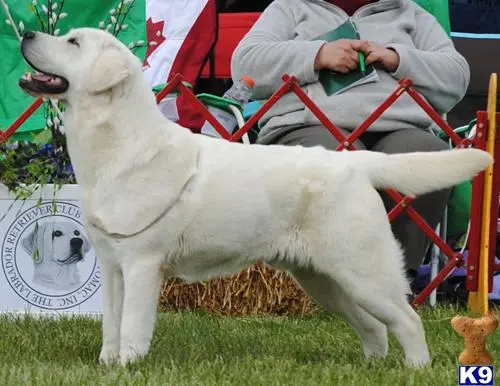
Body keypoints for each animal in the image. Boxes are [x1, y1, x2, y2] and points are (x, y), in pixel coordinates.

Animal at [18, 27, 492, 368]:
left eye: (73, 43)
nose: (26, 34)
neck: (116, 146)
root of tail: (355, 163)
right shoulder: (113, 266)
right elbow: (110, 328)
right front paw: (108, 366)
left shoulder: (140, 264)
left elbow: (132, 327)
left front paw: (128, 368)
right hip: (324, 280)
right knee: (374, 327)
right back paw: (372, 367)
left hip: (364, 271)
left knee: (407, 319)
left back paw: (416, 368)